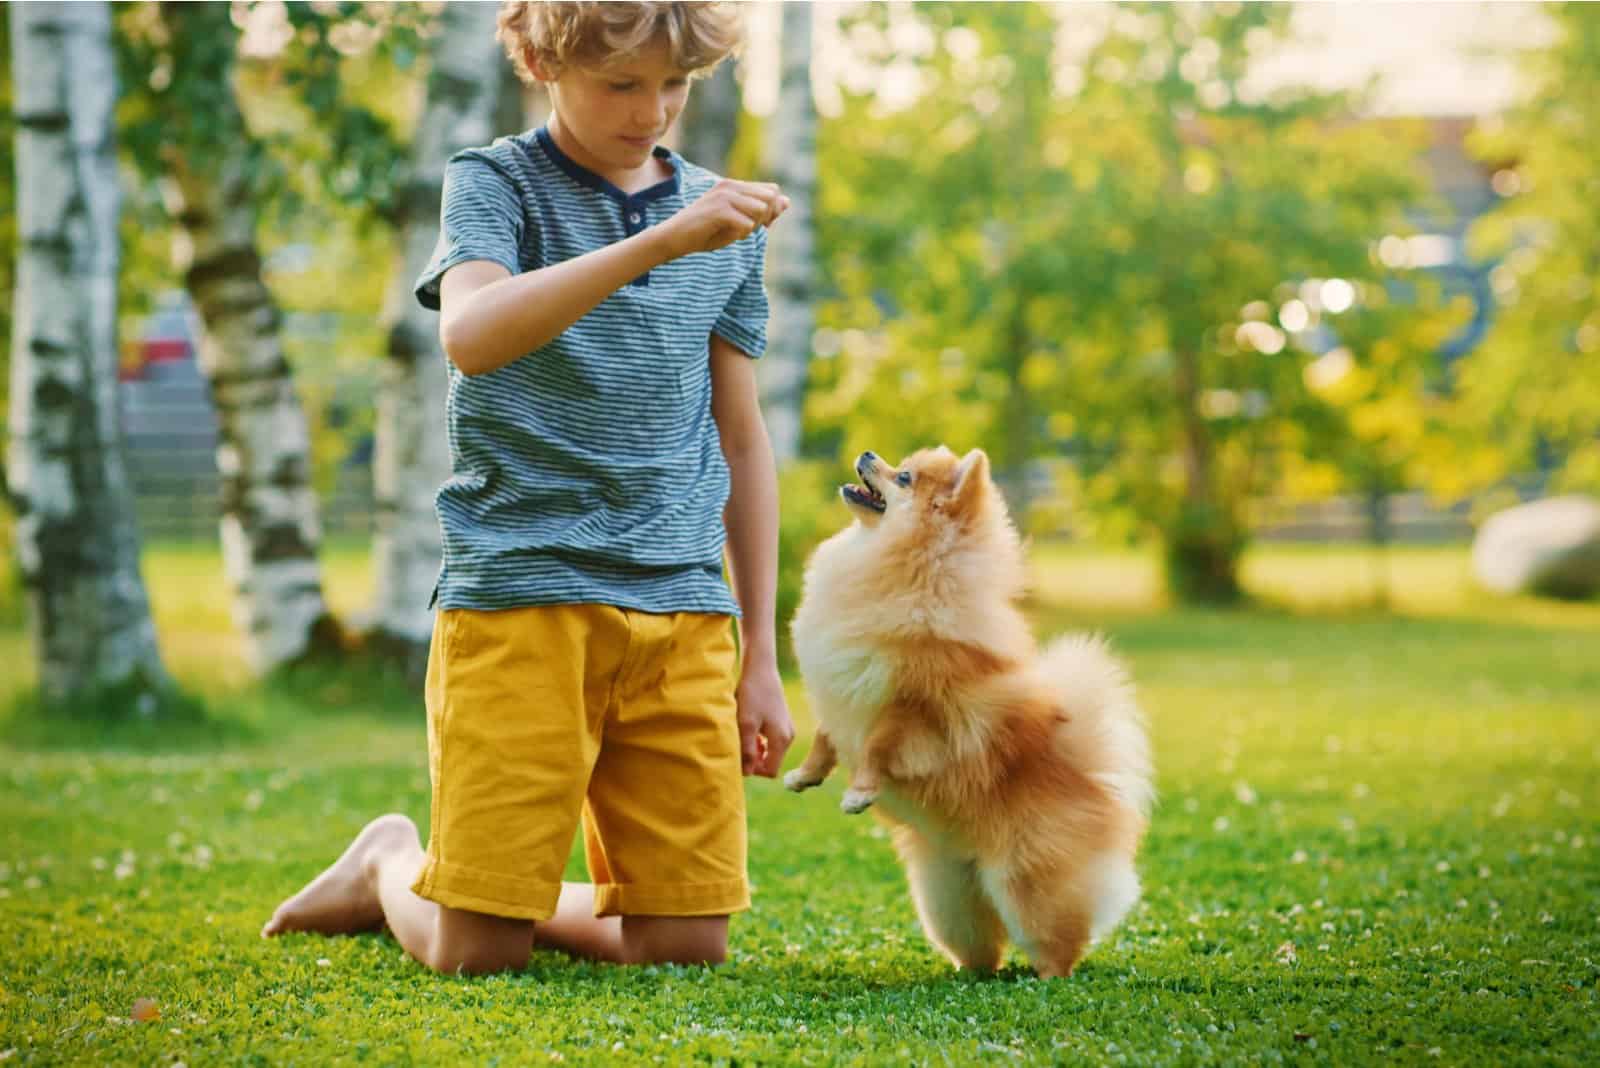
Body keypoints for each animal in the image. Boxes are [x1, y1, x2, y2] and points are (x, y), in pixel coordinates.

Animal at [784, 444, 1152, 978]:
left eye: (904, 477)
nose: (867, 452)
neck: (900, 568)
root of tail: (1089, 779)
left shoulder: (910, 706)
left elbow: (876, 747)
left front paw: (858, 793)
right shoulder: (839, 693)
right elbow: (824, 738)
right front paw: (803, 775)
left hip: (1026, 888)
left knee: (1056, 942)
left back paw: (1048, 977)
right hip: (947, 898)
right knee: (981, 945)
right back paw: (969, 973)